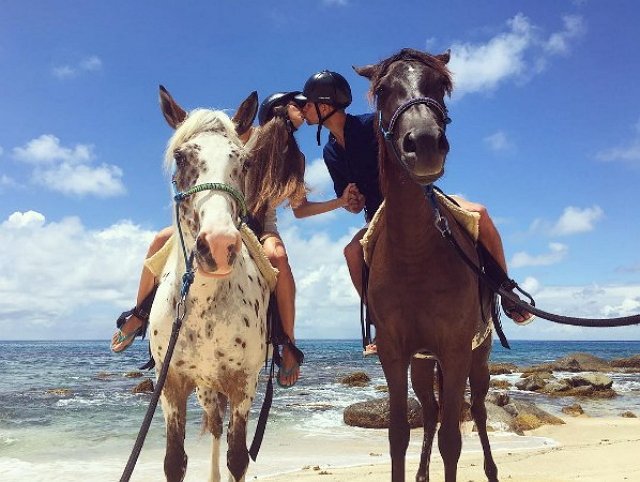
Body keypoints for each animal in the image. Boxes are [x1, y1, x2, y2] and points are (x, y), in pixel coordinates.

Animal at [150, 87, 270, 482]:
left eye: (244, 163)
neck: (201, 304)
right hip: (205, 389)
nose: (218, 245)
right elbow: (174, 461)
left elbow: (238, 457)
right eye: (180, 157)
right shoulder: (171, 386)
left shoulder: (243, 384)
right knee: (215, 427)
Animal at [356, 48, 500, 482]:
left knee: (479, 410)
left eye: (440, 85)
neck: (415, 254)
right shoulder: (394, 352)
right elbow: (398, 434)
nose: (424, 142)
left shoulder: (455, 350)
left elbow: (452, 440)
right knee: (432, 411)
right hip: (422, 365)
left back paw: (491, 470)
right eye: (383, 90)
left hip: (478, 358)